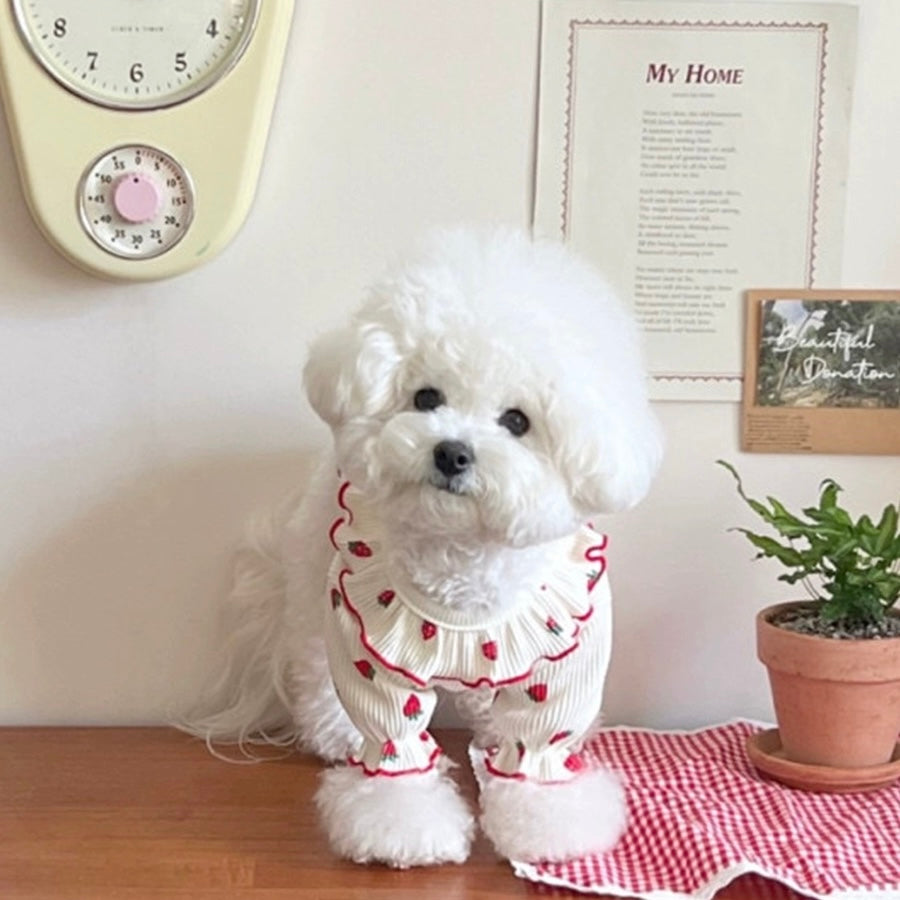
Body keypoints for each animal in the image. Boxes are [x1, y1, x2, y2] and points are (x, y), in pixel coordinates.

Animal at [181, 229, 660, 868]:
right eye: (426, 397)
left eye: (517, 421)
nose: (452, 452)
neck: (462, 570)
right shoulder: (373, 654)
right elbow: (394, 748)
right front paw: (401, 829)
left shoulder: (562, 664)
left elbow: (538, 749)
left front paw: (545, 822)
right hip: (315, 582)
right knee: (311, 664)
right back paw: (333, 731)